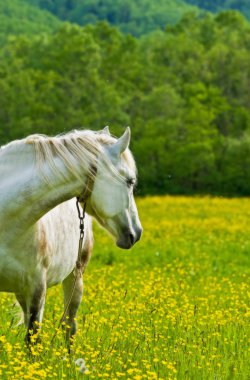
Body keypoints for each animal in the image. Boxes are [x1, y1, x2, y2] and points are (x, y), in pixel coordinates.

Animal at [0, 127, 142, 344]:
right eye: (130, 181)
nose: (137, 232)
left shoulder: (37, 289)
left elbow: (33, 338)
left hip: (75, 278)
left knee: (70, 327)